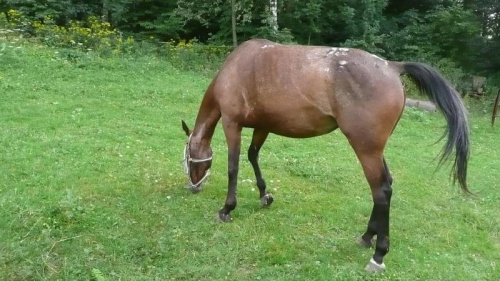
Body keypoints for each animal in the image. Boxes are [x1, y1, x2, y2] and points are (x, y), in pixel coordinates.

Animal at [181, 38, 468, 270]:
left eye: (187, 158)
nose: (193, 187)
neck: (236, 67)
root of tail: (391, 67)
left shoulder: (232, 123)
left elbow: (233, 166)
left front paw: (227, 209)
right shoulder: (263, 126)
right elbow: (253, 157)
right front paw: (265, 195)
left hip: (366, 150)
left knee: (381, 191)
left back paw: (378, 255)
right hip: (376, 150)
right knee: (387, 185)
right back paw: (367, 237)